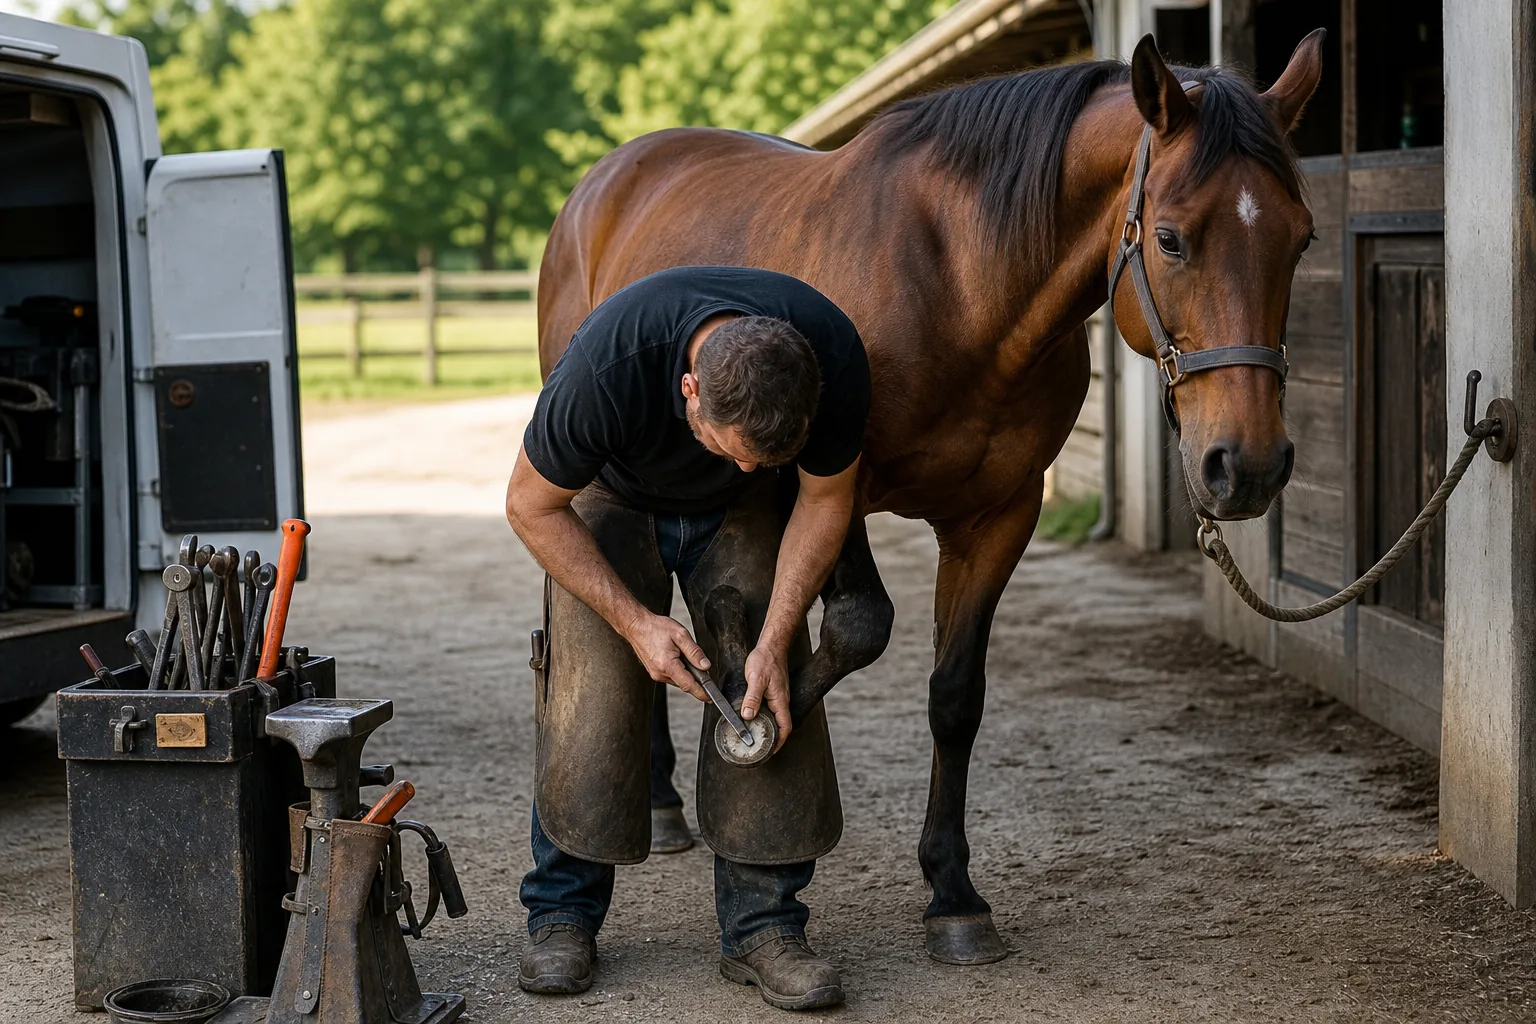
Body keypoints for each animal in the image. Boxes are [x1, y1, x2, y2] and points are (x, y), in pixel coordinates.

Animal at [536, 32, 1325, 965]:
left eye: (1301, 239)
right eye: (1170, 240)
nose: (1250, 465)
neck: (960, 283)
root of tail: (610, 176)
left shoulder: (999, 517)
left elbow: (955, 695)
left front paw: (952, 894)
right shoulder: (832, 484)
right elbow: (856, 627)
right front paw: (750, 736)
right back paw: (659, 803)